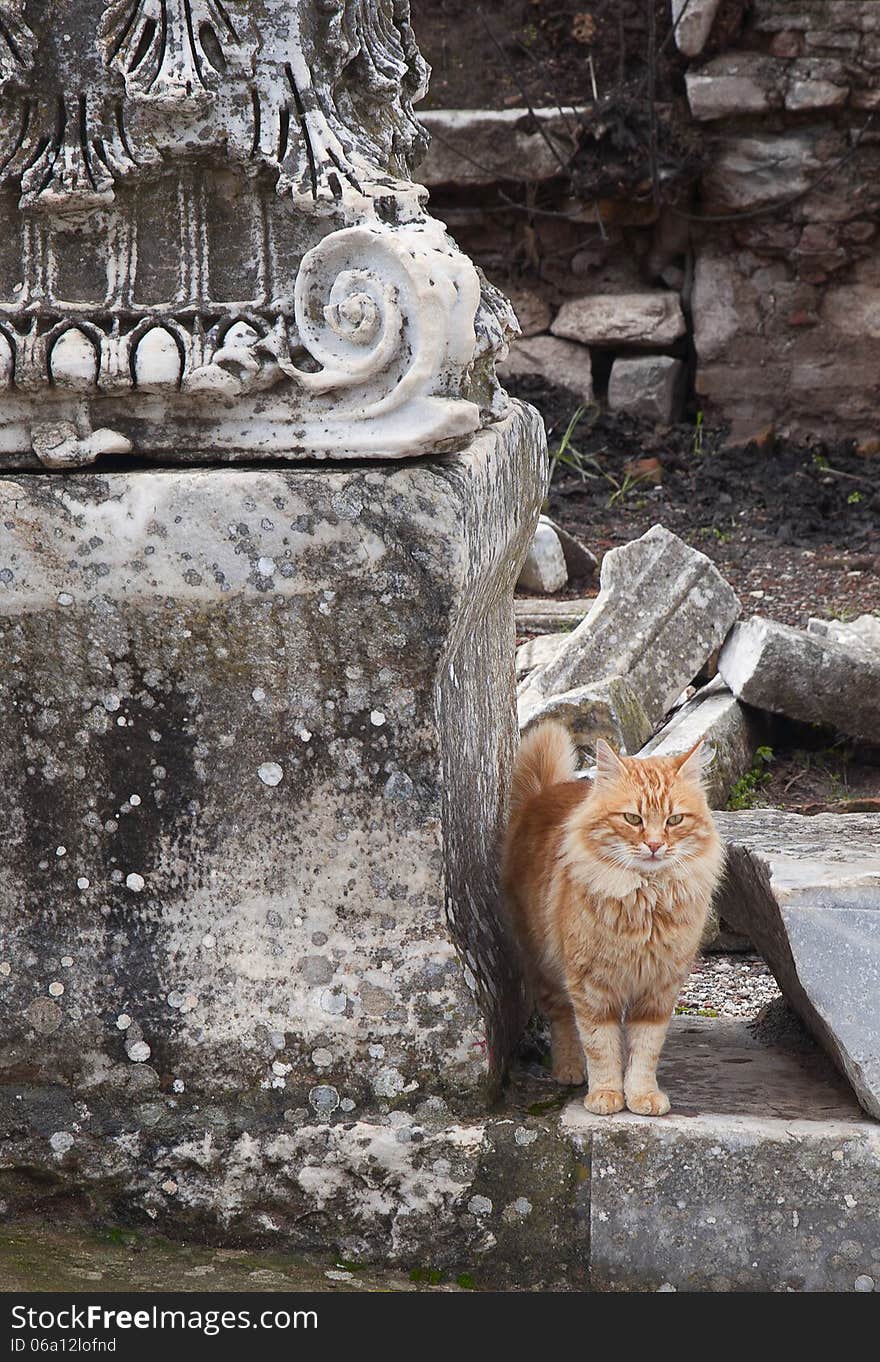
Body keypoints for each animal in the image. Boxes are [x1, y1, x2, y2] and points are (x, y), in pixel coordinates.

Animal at [504, 724, 724, 1116]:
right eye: (633, 819)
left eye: (675, 820)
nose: (654, 845)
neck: (647, 901)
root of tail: (543, 792)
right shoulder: (591, 986)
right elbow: (600, 1046)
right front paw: (606, 1095)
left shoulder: (658, 989)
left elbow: (644, 1050)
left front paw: (641, 1096)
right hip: (546, 966)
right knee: (562, 1019)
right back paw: (570, 1069)